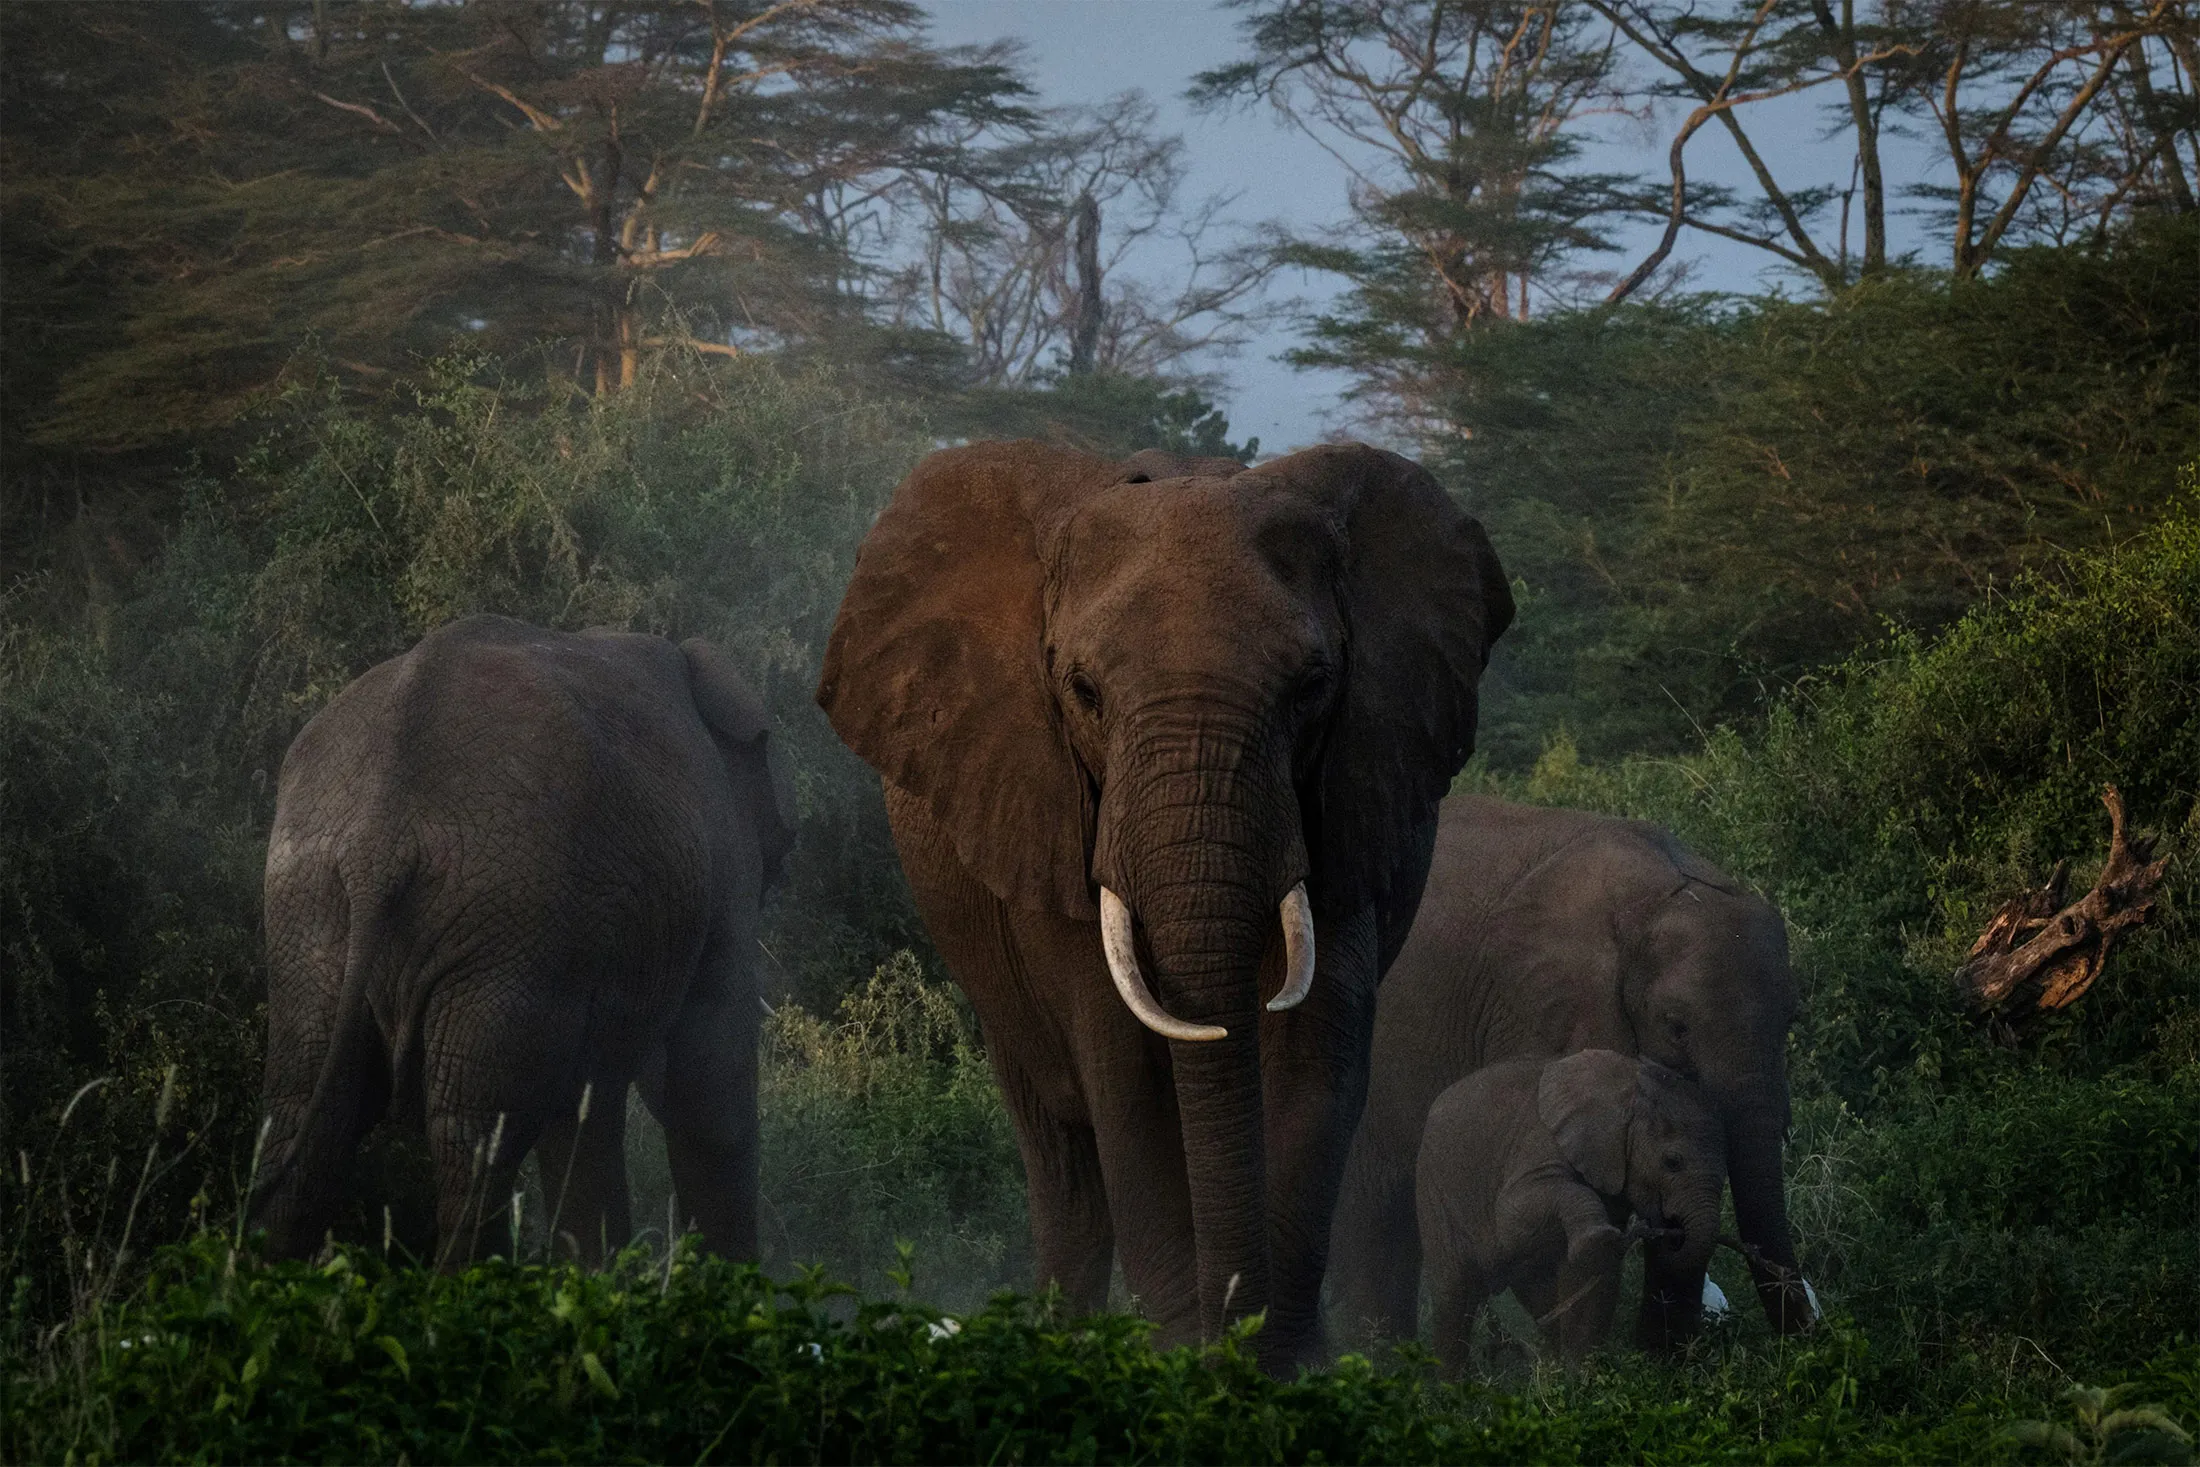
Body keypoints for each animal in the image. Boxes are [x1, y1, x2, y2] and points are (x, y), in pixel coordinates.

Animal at [249, 614, 795, 1266]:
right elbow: (709, 1086)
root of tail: (375, 846)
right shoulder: (721, 866)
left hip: (314, 906)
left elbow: (589, 1109)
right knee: (474, 1142)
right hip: (507, 920)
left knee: (307, 1116)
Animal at [816, 440, 1512, 1371]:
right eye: (1082, 690)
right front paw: (1182, 1353)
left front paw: (1287, 1362)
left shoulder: (1346, 798)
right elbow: (1123, 1066)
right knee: (1062, 1155)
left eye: (1312, 685)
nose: (1230, 1333)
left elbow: (1317, 1051)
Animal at [1416, 1051, 1727, 1373]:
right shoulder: (1539, 1142)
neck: (1629, 1087)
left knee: (1536, 1292)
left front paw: (1580, 1375)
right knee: (1453, 1295)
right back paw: (1453, 1384)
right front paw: (1599, 1239)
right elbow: (1512, 1216)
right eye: (1672, 1162)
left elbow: (1593, 1276)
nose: (1670, 1229)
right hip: (1433, 1192)